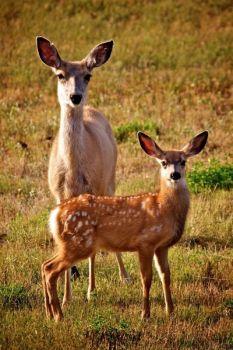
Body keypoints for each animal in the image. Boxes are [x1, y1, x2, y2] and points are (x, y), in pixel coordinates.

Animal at [36, 37, 129, 306]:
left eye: (88, 75)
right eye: (60, 75)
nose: (75, 97)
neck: (74, 173)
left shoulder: (94, 190)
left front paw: (91, 291)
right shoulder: (59, 195)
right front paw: (67, 297)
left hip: (110, 181)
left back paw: (124, 276)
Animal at [41, 129, 208, 320]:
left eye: (183, 161)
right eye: (164, 163)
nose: (175, 175)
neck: (163, 207)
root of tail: (54, 214)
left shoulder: (162, 246)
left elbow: (165, 276)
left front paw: (170, 311)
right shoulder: (146, 242)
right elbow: (147, 278)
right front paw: (145, 314)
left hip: (69, 244)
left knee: (45, 265)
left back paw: (49, 313)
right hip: (79, 242)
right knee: (51, 270)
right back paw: (58, 315)